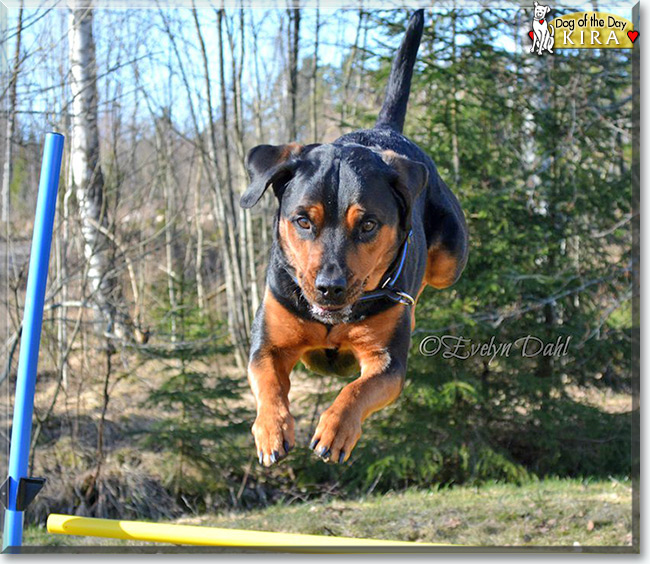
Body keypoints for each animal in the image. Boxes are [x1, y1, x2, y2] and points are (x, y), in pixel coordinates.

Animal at [238, 9, 466, 468]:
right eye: (302, 221)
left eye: (368, 225)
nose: (330, 287)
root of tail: (386, 130)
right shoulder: (268, 344)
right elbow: (267, 380)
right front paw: (271, 429)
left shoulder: (387, 363)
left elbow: (359, 388)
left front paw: (336, 429)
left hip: (452, 257)